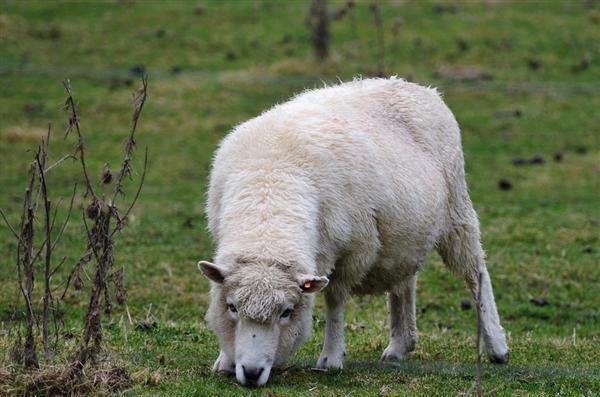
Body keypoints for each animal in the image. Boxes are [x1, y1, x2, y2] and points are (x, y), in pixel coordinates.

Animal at [199, 76, 508, 386]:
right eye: (232, 307)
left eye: (287, 312)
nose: (251, 374)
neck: (271, 184)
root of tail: (415, 86)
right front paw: (225, 360)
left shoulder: (352, 251)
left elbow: (335, 301)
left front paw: (331, 358)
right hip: (406, 234)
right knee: (405, 282)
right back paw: (401, 345)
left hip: (457, 212)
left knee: (476, 274)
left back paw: (497, 346)